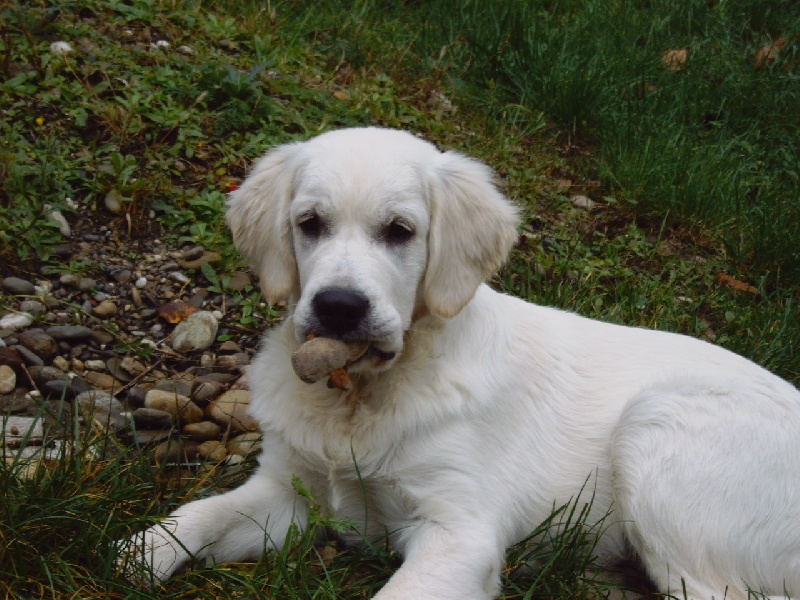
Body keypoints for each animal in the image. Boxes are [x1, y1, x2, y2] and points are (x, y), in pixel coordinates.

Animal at [122, 127, 800, 600]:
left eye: (400, 231)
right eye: (309, 223)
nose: (339, 307)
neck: (360, 394)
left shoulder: (460, 529)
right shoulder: (288, 494)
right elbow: (197, 516)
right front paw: (136, 553)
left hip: (657, 422)